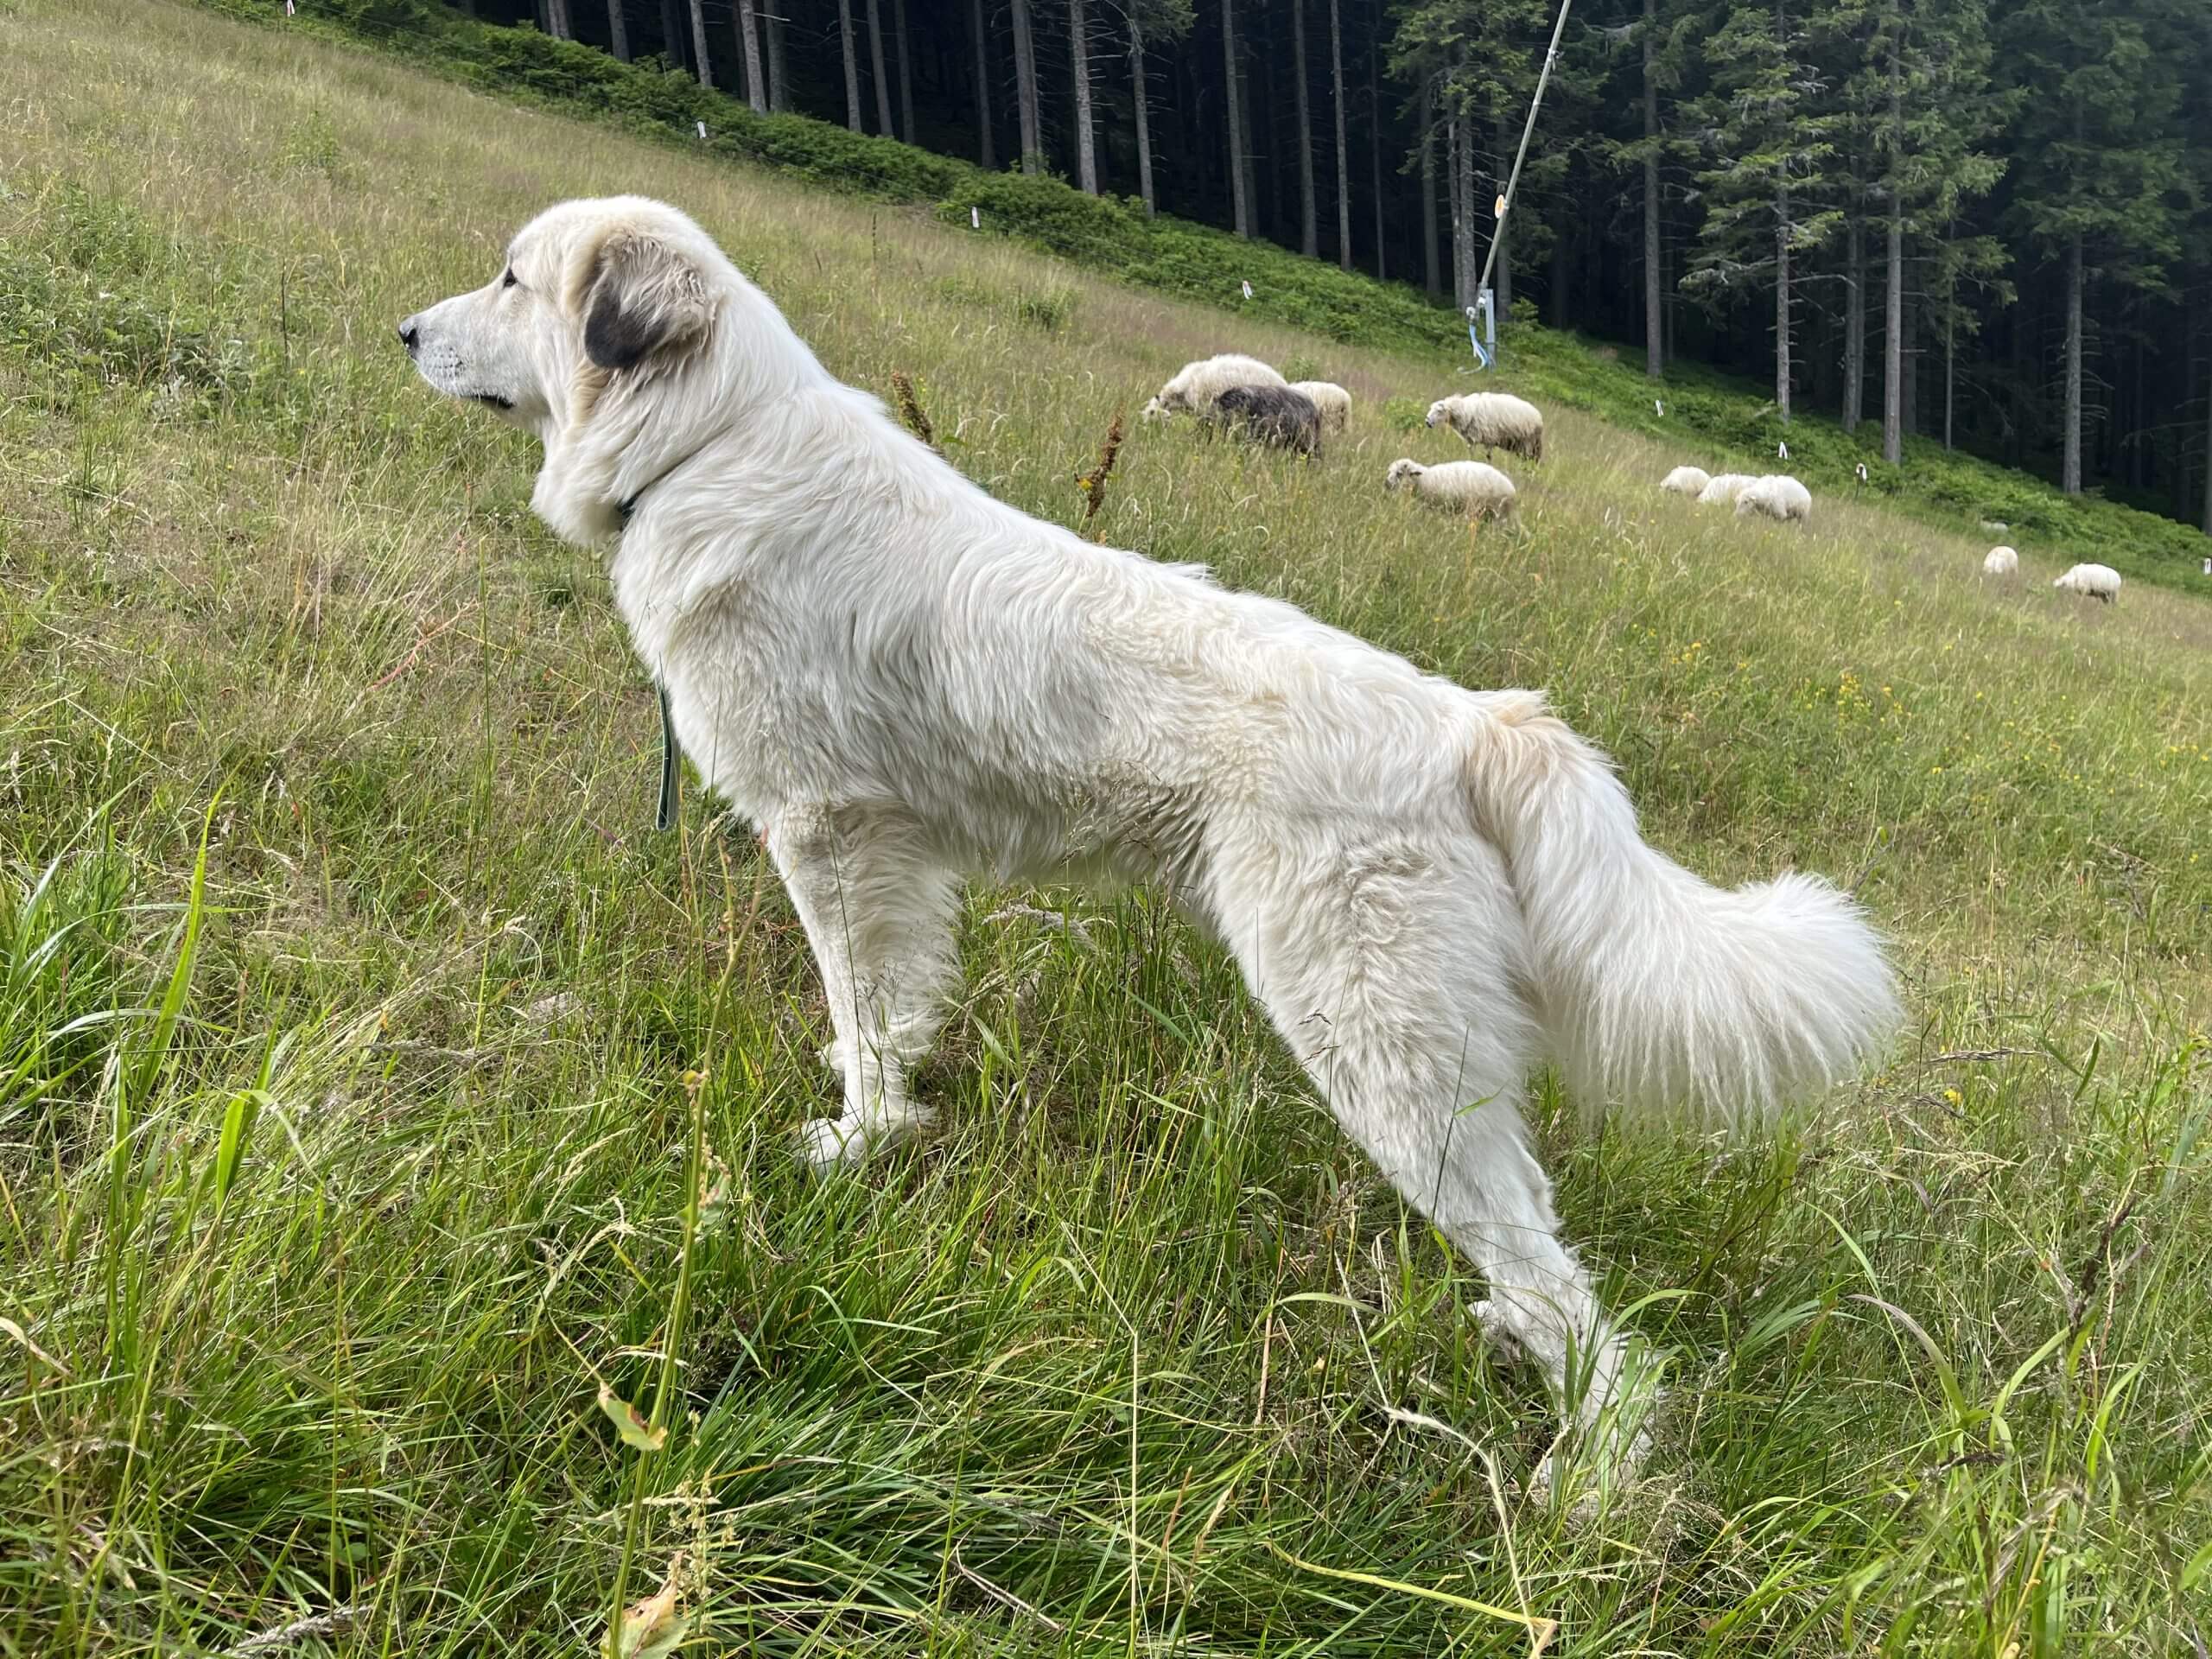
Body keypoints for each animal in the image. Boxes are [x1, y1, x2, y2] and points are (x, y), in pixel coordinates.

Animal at [1389, 457, 1513, 518]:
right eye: (1389, 471)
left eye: (1399, 473)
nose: (1387, 484)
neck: (1424, 479)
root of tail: (1512, 489)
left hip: (1498, 511)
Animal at [1424, 393, 1548, 464]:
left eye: (1439, 411)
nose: (1427, 422)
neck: (1466, 411)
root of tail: (1539, 417)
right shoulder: (1472, 439)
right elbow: (1471, 453)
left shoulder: (1490, 439)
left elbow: (1488, 457)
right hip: (1520, 445)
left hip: (1528, 443)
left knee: (1529, 459)